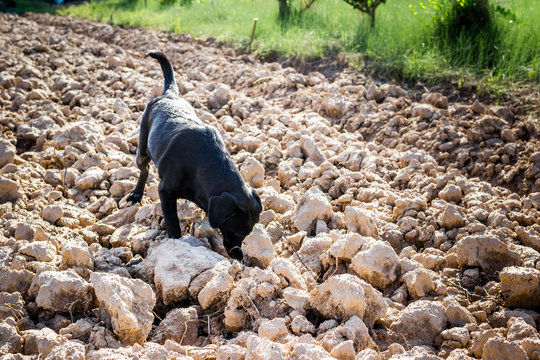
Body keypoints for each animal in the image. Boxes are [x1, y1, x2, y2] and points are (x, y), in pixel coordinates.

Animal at [126, 50, 262, 258]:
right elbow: (173, 224)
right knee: (144, 169)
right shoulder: (165, 191)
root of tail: (169, 95)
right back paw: (137, 193)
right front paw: (175, 242)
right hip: (142, 148)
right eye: (236, 231)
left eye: (248, 233)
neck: (203, 166)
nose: (238, 255)